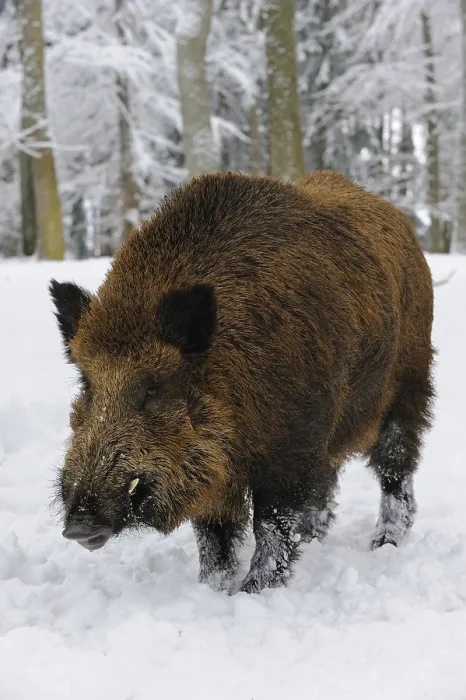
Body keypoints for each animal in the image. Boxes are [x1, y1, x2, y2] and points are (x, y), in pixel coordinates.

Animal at [50, 170, 435, 593]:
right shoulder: (217, 470)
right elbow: (214, 533)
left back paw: (385, 543)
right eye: (87, 384)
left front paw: (255, 590)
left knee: (395, 467)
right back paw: (316, 539)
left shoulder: (291, 447)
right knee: (329, 480)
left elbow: (270, 523)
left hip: (410, 384)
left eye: (153, 387)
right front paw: (212, 589)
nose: (80, 527)